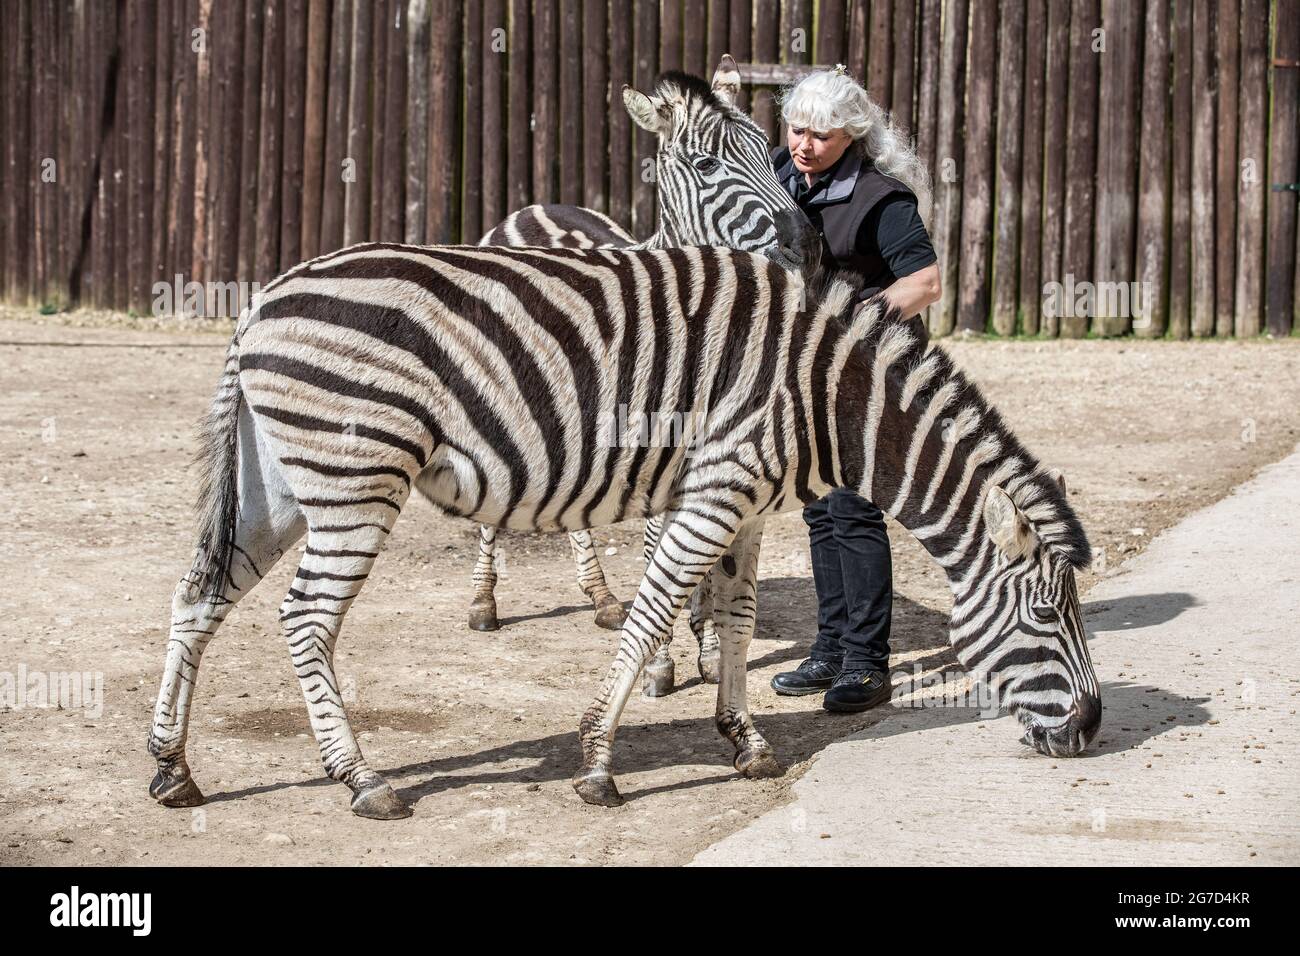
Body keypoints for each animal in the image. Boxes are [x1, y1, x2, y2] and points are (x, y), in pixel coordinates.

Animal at [147, 239, 1100, 821]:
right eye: (1048, 617)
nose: (1091, 729)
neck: (828, 390)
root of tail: (262, 298)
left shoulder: (746, 502)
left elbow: (737, 618)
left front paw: (744, 740)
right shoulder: (716, 487)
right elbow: (651, 618)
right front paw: (599, 763)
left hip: (278, 488)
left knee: (197, 599)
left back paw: (173, 769)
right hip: (355, 476)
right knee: (306, 620)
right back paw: (362, 778)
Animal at [470, 56, 818, 699]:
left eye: (769, 150)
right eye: (706, 166)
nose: (806, 245)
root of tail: (530, 208)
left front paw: (708, 647)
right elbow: (662, 545)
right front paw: (661, 662)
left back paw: (603, 598)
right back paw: (484, 602)